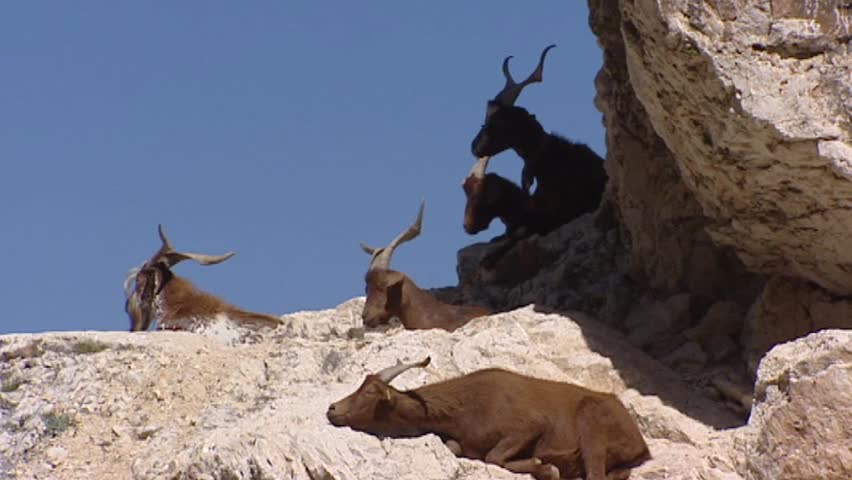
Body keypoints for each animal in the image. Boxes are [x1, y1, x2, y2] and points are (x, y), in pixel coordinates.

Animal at [327, 357, 651, 480]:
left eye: (370, 392)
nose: (332, 408)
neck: (464, 410)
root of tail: (640, 441)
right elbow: (460, 448)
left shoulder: (530, 425)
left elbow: (494, 456)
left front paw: (543, 466)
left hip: (592, 424)